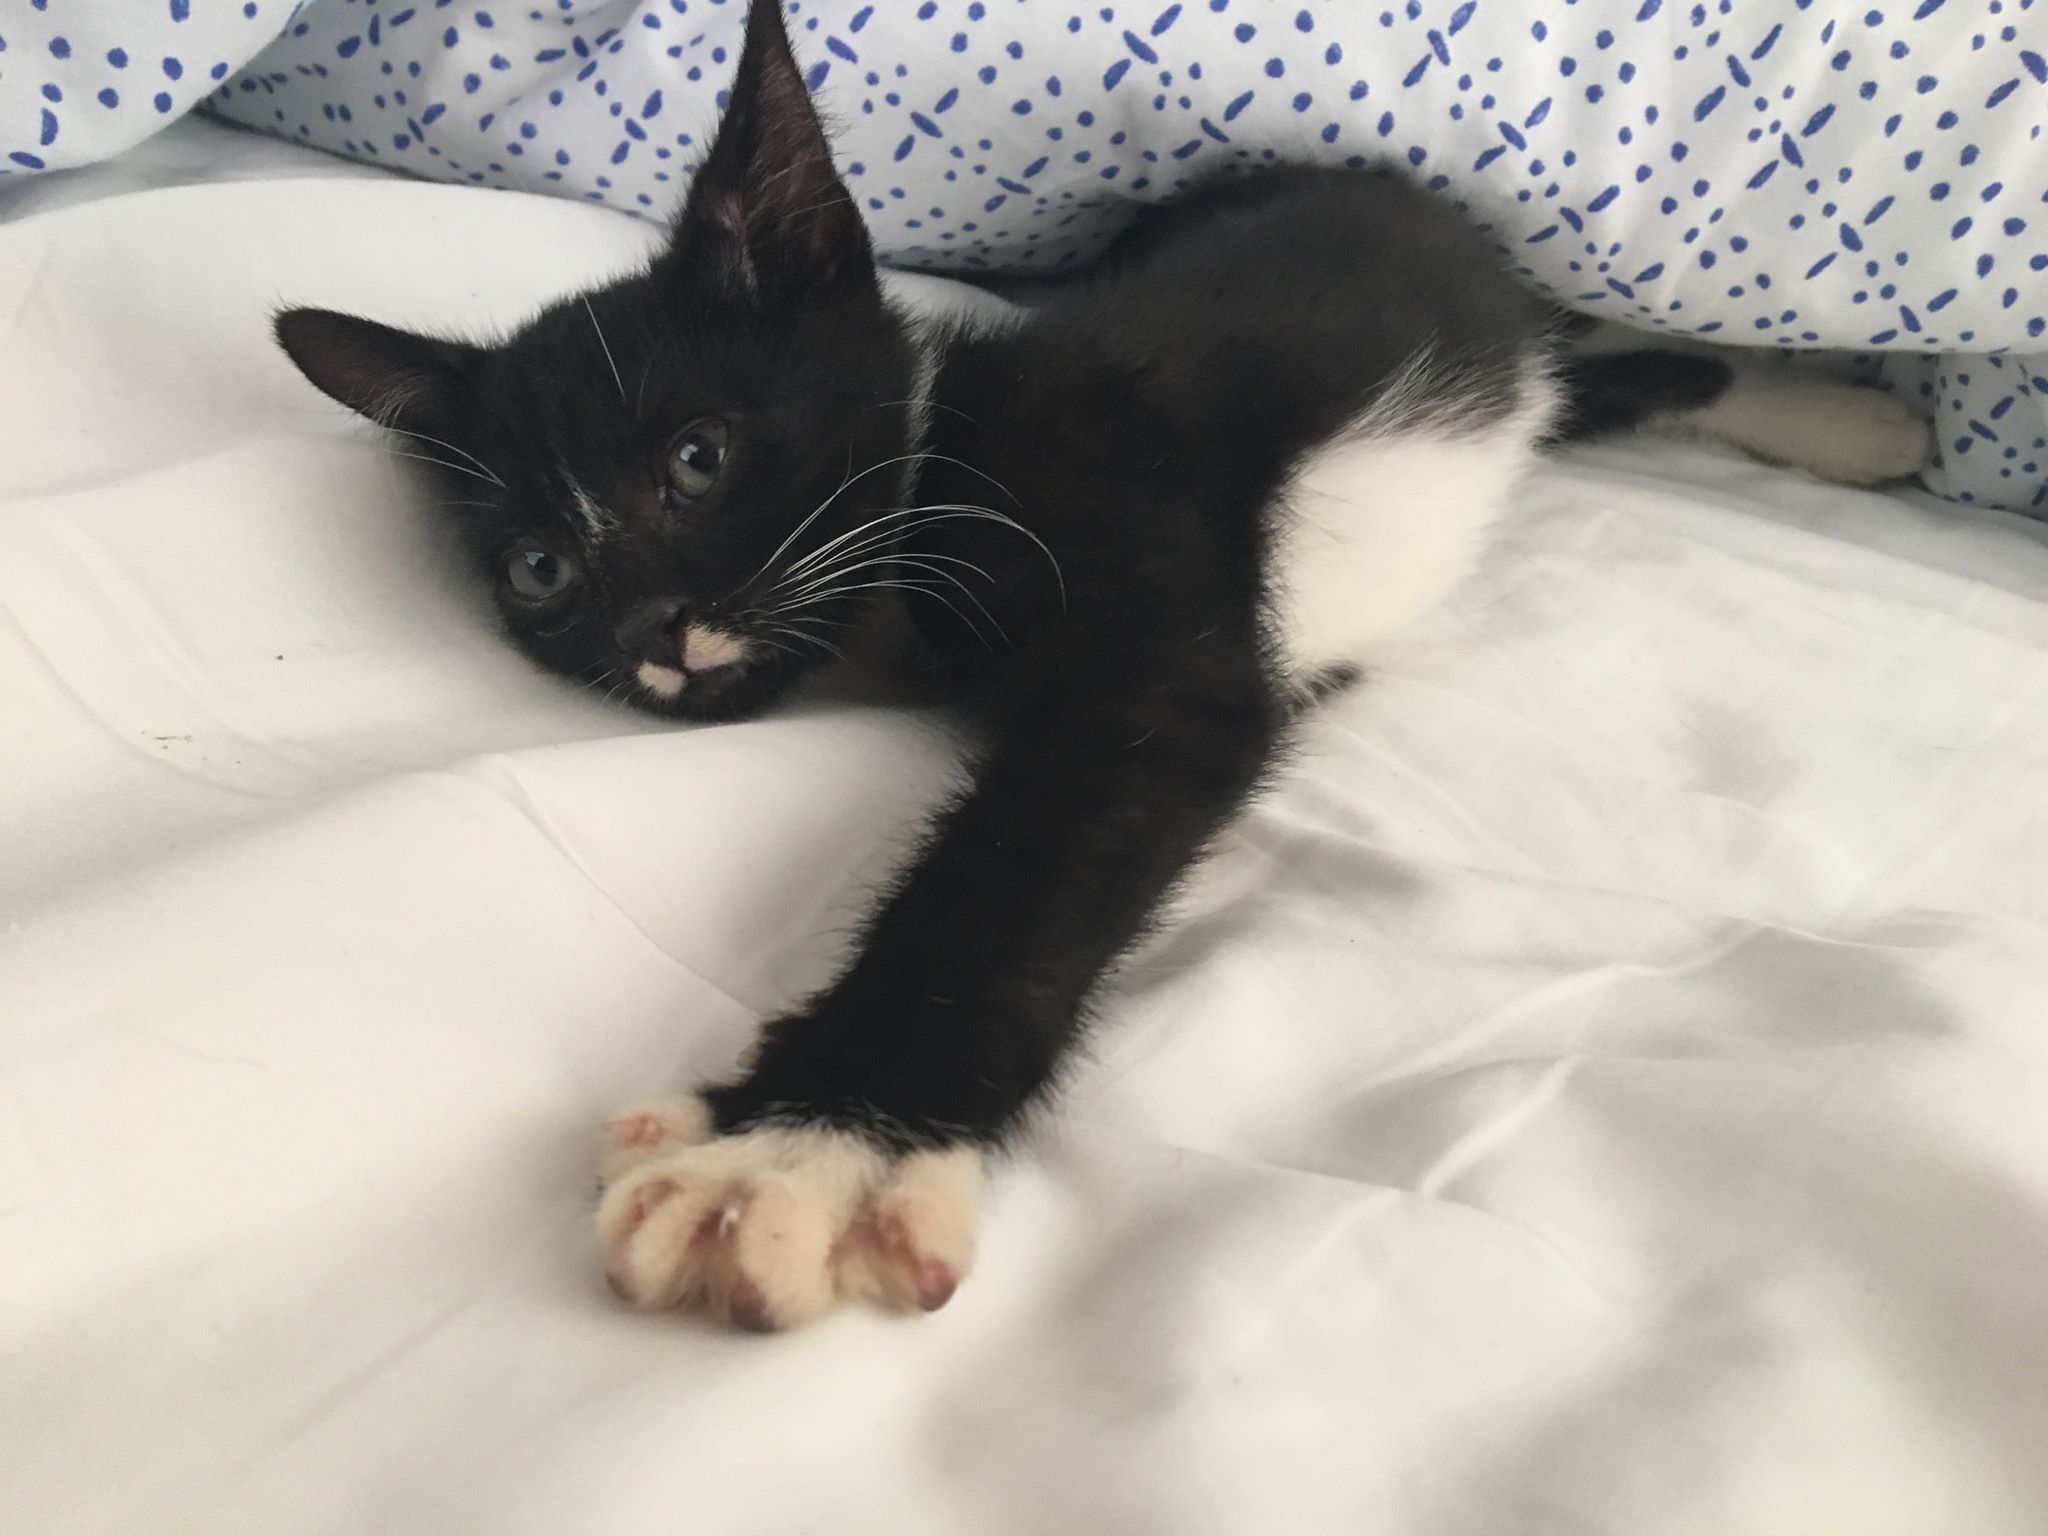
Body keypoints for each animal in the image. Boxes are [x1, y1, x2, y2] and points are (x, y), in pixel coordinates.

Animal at [274, 0, 1929, 1331]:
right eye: (539, 573)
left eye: (698, 456)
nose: (653, 639)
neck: (940, 461)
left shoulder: (1147, 580)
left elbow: (1046, 844)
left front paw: (803, 1146)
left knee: (1612, 361)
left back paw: (1844, 412)